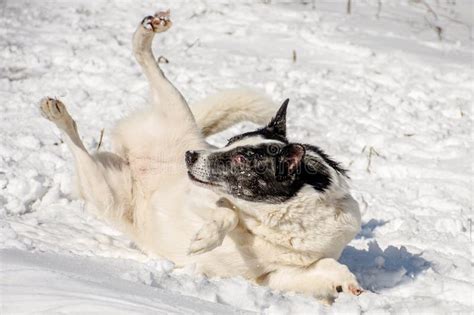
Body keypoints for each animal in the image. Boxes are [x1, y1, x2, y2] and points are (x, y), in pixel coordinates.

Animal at [39, 11, 362, 304]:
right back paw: (63, 110)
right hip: (160, 126)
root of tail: (130, 155)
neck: (276, 221)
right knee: (89, 125)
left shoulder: (277, 275)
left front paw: (348, 284)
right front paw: (205, 238)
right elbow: (228, 212)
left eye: (241, 159)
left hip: (110, 183)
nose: (190, 156)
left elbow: (327, 266)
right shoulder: (201, 195)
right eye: (229, 143)